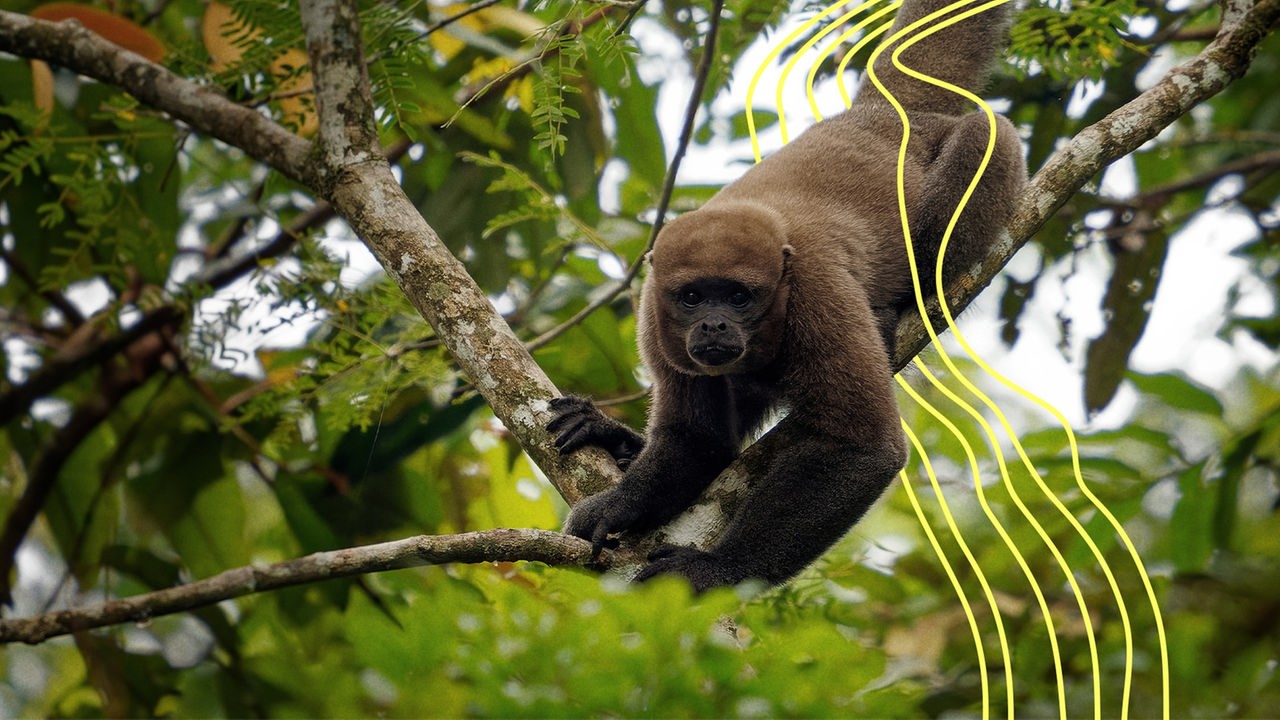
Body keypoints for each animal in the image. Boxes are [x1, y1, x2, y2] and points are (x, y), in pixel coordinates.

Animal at [545, 0, 1024, 589]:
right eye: (692, 298)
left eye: (740, 297)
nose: (715, 325)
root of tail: (884, 115)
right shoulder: (655, 322)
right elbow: (697, 442)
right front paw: (620, 505)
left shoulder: (818, 296)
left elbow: (863, 445)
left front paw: (720, 570)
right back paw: (613, 439)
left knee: (983, 137)